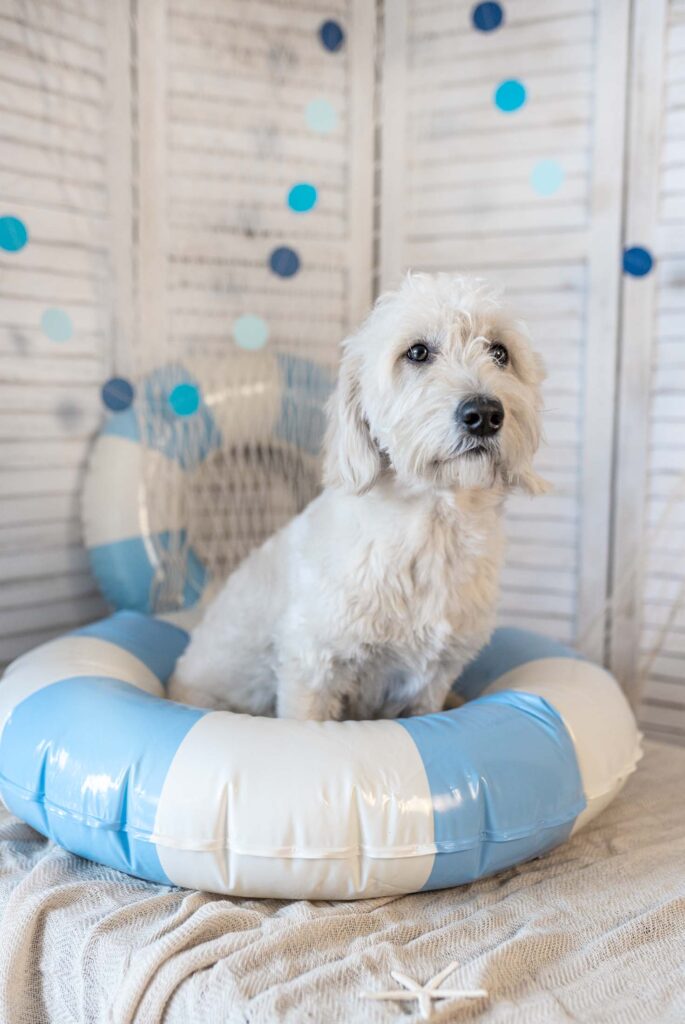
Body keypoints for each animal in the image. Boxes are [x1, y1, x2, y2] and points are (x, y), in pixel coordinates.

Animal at [169, 272, 544, 720]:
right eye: (417, 352)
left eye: (499, 352)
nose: (484, 414)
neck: (433, 527)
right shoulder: (312, 666)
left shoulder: (431, 684)